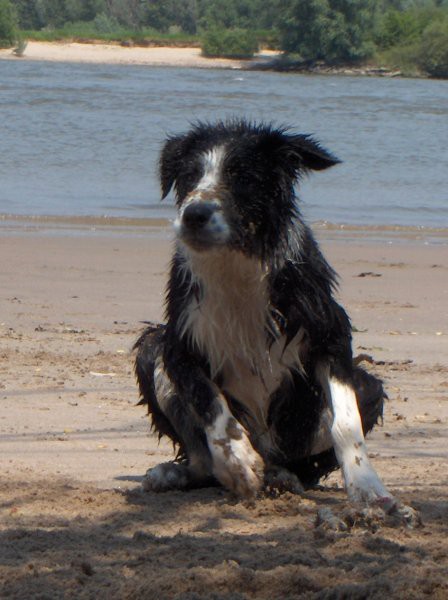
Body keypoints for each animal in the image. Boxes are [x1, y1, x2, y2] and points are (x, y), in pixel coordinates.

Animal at [135, 118, 412, 516]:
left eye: (243, 177)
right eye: (189, 175)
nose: (194, 215)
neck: (236, 263)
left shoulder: (329, 333)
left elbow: (345, 422)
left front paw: (368, 488)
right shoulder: (179, 341)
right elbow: (209, 402)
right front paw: (239, 463)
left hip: (365, 387)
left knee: (305, 464)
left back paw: (285, 477)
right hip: (149, 347)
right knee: (201, 458)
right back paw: (182, 473)